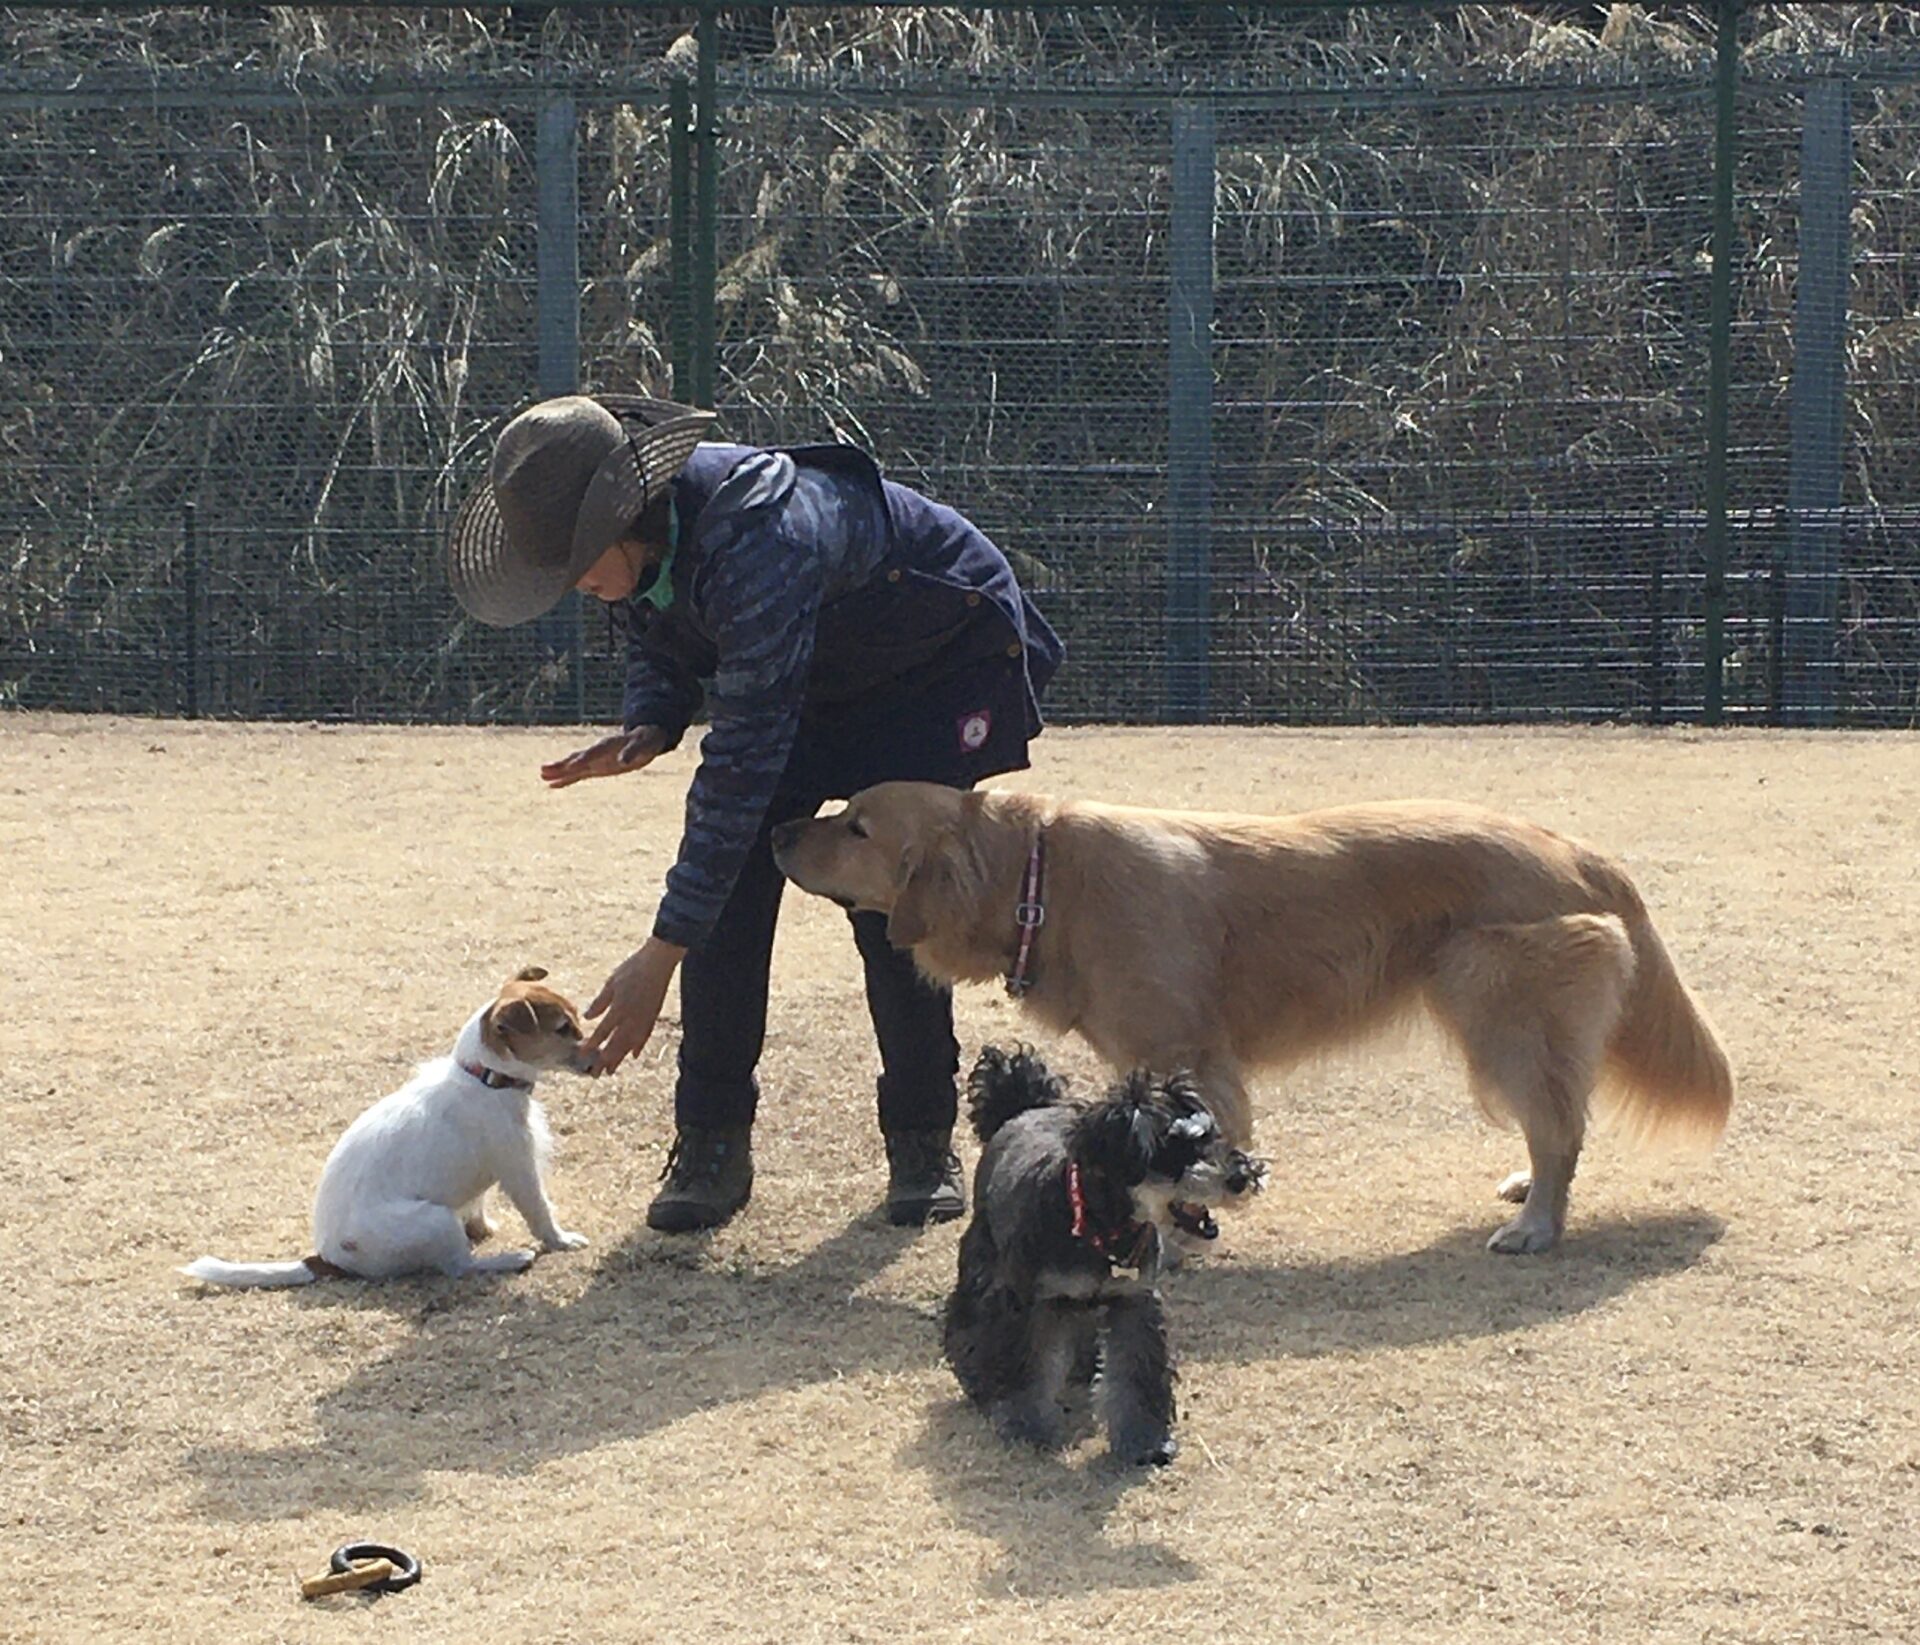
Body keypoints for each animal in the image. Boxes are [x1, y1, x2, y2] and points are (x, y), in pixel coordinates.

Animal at [182, 967, 593, 1287]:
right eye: (562, 1028)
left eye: (576, 1016)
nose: (596, 1054)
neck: (485, 1079)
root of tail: (325, 1258)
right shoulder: (519, 1166)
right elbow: (540, 1212)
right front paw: (561, 1240)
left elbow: (477, 1204)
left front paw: (483, 1227)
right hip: (435, 1219)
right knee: (458, 1267)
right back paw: (508, 1260)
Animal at [772, 783, 1734, 1254]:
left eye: (856, 824)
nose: (782, 824)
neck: (1043, 881)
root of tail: (1578, 850)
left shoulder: (1188, 1053)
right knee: (1556, 1120)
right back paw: (1528, 1189)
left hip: (1496, 1009)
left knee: (1560, 1126)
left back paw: (1537, 1223)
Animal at [942, 1045, 1266, 1465]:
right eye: (1173, 1150)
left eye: (1209, 1135)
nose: (1243, 1176)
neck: (1102, 1227)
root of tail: (1024, 1109)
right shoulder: (1030, 1304)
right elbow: (1026, 1368)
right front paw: (1025, 1427)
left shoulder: (1133, 1302)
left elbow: (1136, 1374)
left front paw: (1145, 1442)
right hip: (984, 1261)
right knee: (971, 1320)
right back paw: (975, 1372)